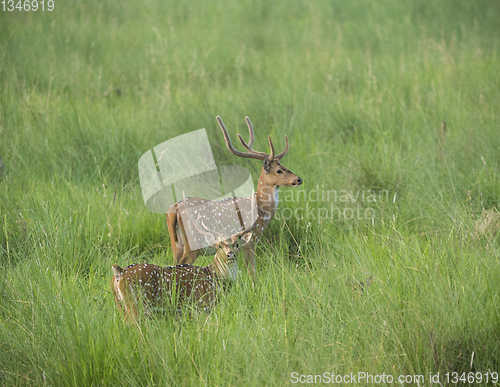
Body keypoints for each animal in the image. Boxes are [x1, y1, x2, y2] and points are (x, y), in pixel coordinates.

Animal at [113, 193, 254, 318]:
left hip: (121, 306)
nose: (230, 255)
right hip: (137, 305)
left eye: (236, 244)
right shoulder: (202, 306)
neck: (214, 277)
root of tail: (119, 272)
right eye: (219, 245)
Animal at [166, 115, 302, 276]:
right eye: (279, 170)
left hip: (176, 245)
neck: (261, 208)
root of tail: (173, 209)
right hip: (193, 243)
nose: (299, 179)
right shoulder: (251, 240)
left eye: (285, 166)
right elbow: (252, 271)